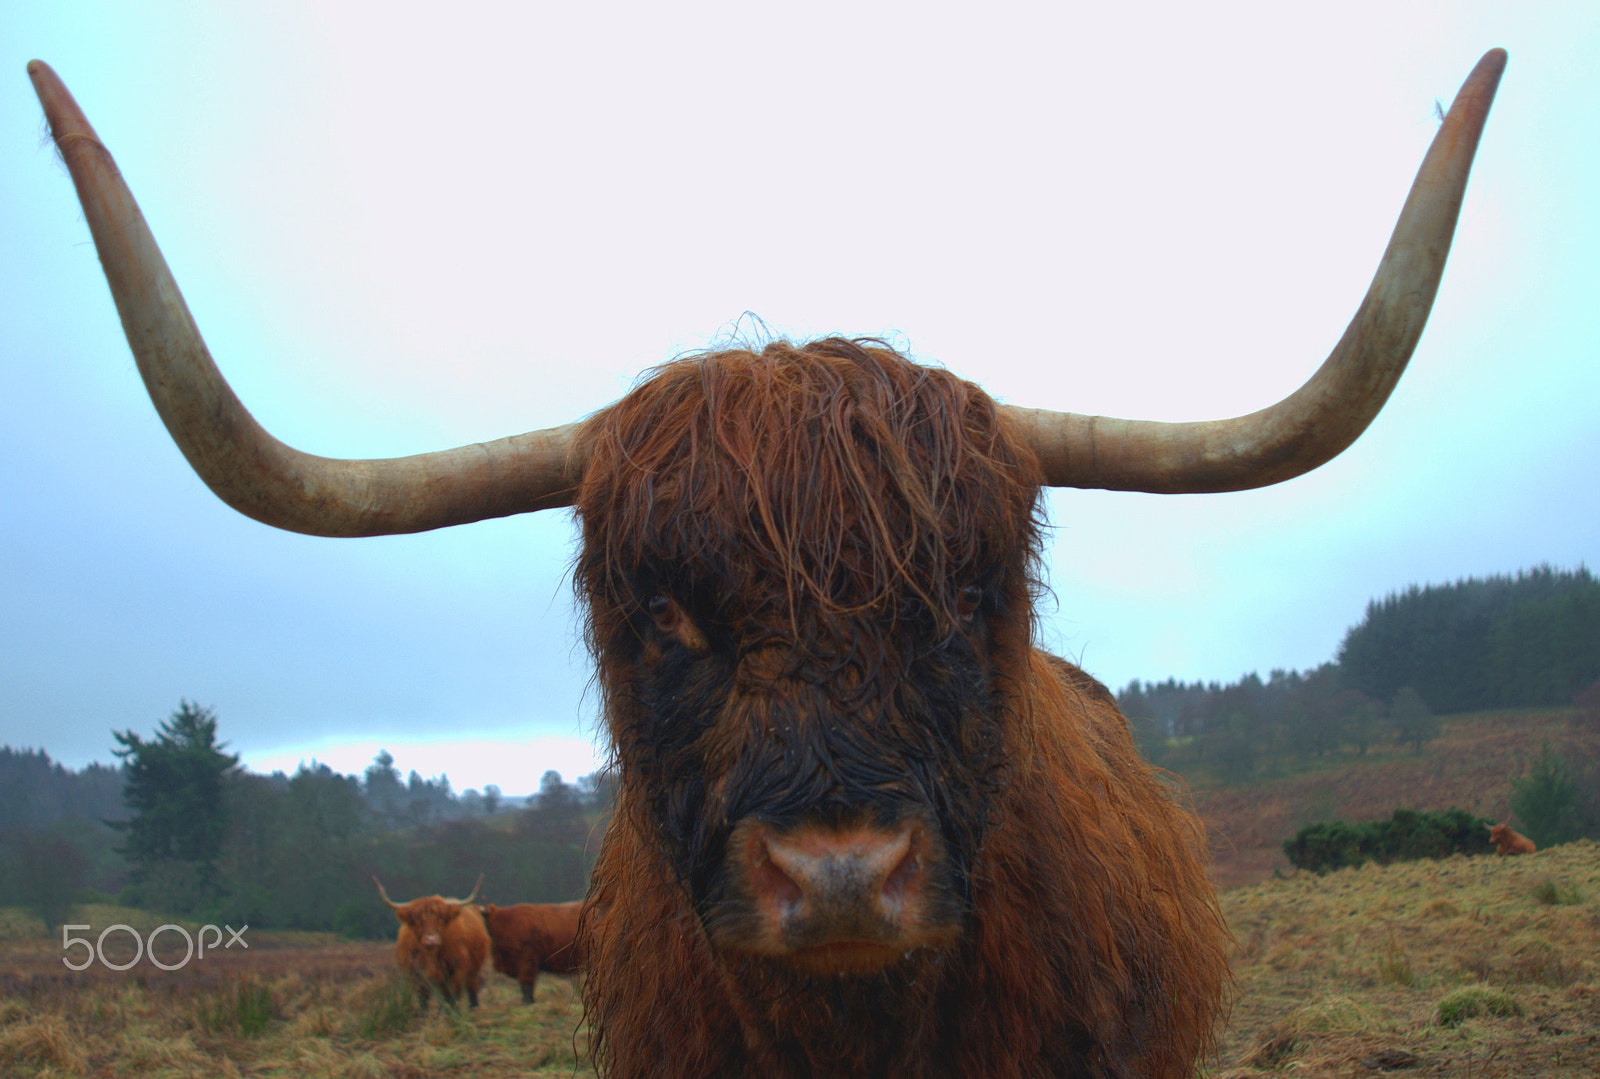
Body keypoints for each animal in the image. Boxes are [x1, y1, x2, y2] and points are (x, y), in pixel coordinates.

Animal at [374, 875, 490, 1010]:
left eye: (441, 917)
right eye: (417, 919)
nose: (431, 939)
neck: (430, 956)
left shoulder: (457, 970)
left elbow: (452, 996)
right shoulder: (416, 974)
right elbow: (423, 999)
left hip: (474, 972)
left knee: (471, 992)